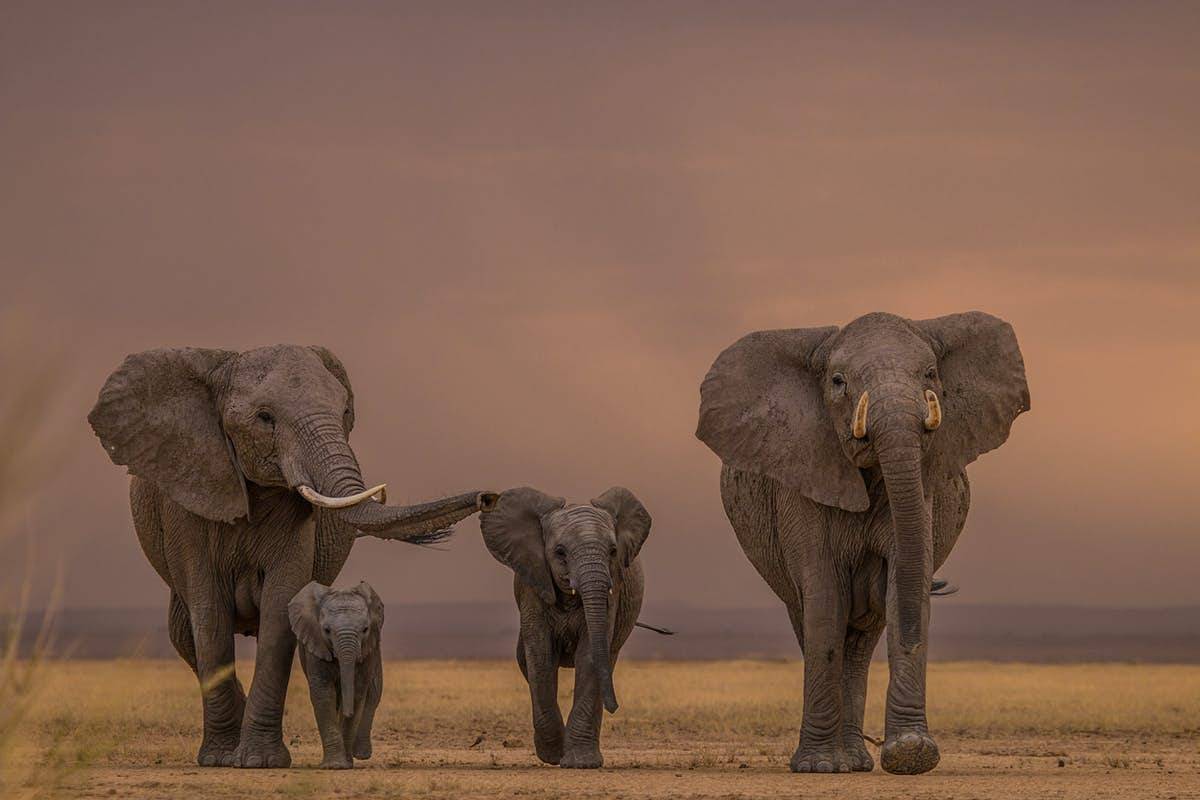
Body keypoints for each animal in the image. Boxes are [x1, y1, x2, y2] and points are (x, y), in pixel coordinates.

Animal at [289, 581, 384, 770]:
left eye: (365, 629)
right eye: (326, 630)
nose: (348, 713)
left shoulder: (368, 651)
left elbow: (358, 691)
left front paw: (345, 764)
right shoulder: (315, 644)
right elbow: (323, 693)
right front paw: (335, 766)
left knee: (373, 696)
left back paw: (360, 754)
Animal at [479, 486, 652, 769]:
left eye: (613, 551)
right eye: (560, 552)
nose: (615, 707)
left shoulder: (613, 588)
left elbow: (590, 653)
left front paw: (581, 763)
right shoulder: (533, 583)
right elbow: (540, 653)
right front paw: (552, 755)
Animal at [696, 311, 1029, 775]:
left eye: (931, 374)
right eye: (838, 382)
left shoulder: (924, 485)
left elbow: (905, 583)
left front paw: (911, 753)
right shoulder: (802, 474)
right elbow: (823, 597)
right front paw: (818, 766)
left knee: (863, 640)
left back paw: (855, 760)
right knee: (813, 620)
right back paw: (837, 760)